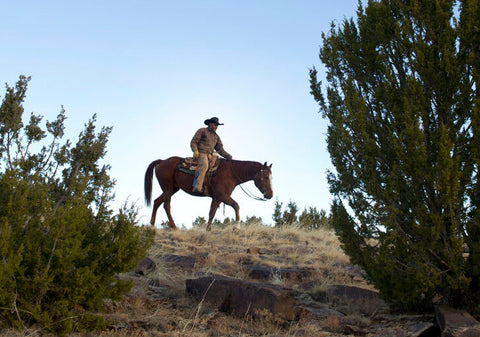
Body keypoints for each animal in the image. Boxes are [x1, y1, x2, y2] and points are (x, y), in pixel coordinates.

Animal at [143, 156, 274, 230]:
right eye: (266, 177)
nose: (270, 195)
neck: (232, 173)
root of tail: (162, 161)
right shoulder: (222, 196)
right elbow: (236, 206)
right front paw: (237, 227)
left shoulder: (217, 198)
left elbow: (212, 212)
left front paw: (208, 229)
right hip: (168, 188)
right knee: (166, 205)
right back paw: (174, 227)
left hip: (172, 189)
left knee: (157, 201)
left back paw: (152, 225)